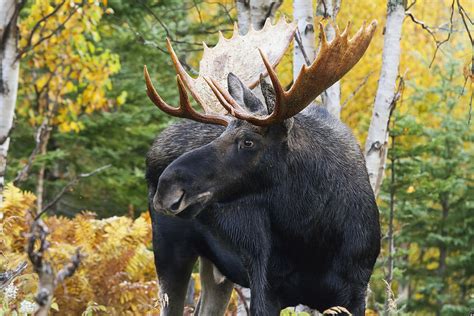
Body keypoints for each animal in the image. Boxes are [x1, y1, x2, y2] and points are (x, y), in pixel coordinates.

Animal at [144, 19, 382, 316]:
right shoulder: (264, 285)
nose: (167, 187)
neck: (313, 238)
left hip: (218, 269)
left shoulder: (355, 292)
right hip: (170, 251)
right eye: (222, 132)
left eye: (248, 141)